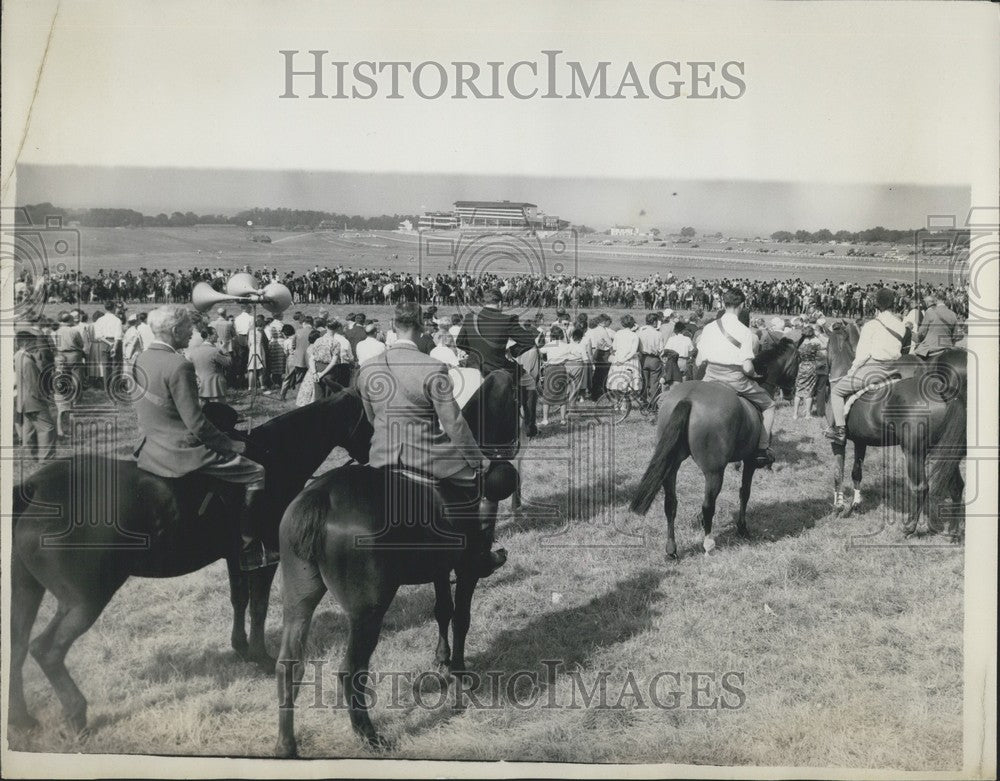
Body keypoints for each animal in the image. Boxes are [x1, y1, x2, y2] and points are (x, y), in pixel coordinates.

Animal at [6, 394, 376, 736]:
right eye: (368, 419)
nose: (372, 458)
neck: (274, 456)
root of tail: (38, 487)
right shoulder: (266, 561)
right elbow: (258, 605)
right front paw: (261, 656)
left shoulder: (236, 558)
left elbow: (239, 601)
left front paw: (241, 649)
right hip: (84, 601)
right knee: (46, 650)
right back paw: (76, 714)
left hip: (27, 590)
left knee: (18, 645)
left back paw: (21, 719)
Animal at [276, 370, 520, 756]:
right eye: (517, 403)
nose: (511, 450)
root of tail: (320, 496)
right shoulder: (466, 569)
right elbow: (462, 616)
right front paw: (460, 671)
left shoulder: (439, 569)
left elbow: (443, 611)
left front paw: (442, 661)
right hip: (368, 610)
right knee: (350, 670)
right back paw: (369, 735)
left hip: (298, 599)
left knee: (289, 666)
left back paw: (286, 745)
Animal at [632, 338, 804, 556]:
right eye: (798, 359)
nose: (790, 391)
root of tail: (689, 398)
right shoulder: (750, 462)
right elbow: (744, 492)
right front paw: (742, 528)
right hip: (714, 471)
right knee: (708, 504)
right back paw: (708, 543)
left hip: (671, 466)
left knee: (670, 503)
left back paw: (672, 548)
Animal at [824, 316, 964, 536]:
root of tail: (941, 389)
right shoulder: (860, 441)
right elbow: (856, 472)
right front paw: (855, 505)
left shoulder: (839, 442)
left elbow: (838, 473)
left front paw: (838, 508)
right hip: (947, 451)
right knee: (957, 486)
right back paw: (953, 531)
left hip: (914, 452)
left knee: (921, 487)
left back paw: (908, 527)